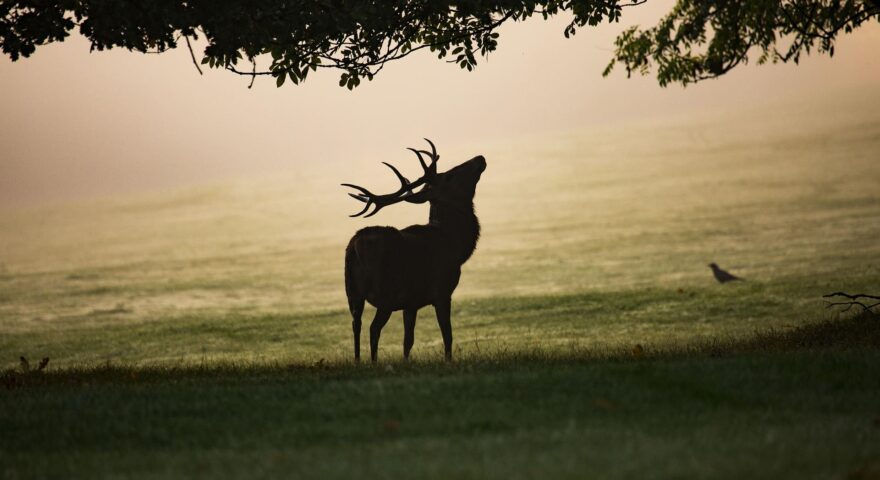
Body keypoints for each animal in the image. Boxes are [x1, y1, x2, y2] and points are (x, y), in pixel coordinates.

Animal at [342, 139, 486, 362]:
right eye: (449, 175)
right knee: (374, 328)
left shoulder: (410, 302)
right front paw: (448, 361)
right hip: (386, 291)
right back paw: (373, 363)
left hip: (352, 290)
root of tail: (356, 246)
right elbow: (448, 335)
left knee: (356, 324)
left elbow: (407, 341)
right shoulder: (442, 291)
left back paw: (358, 362)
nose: (480, 158)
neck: (455, 244)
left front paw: (406, 362)